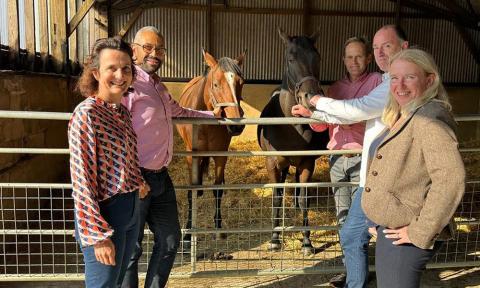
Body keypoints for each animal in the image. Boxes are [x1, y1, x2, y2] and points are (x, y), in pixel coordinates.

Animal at [175, 50, 246, 244]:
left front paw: (218, 228)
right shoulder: (191, 156)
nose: (236, 125)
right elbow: (191, 191)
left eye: (241, 83)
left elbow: (217, 190)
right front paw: (188, 232)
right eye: (215, 84)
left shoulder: (221, 156)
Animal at [258, 28, 330, 255]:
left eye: (318, 57)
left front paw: (307, 242)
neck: (291, 127)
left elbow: (304, 199)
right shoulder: (272, 164)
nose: (311, 98)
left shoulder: (307, 163)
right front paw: (274, 240)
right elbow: (276, 198)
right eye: (291, 58)